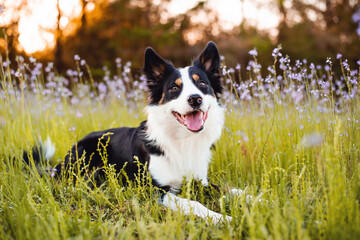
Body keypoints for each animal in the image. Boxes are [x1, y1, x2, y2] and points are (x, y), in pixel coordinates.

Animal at [23, 42, 245, 224]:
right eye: (174, 88)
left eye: (202, 84)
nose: (195, 99)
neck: (183, 140)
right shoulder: (154, 190)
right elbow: (194, 203)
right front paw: (222, 217)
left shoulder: (200, 181)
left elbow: (230, 189)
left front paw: (252, 198)